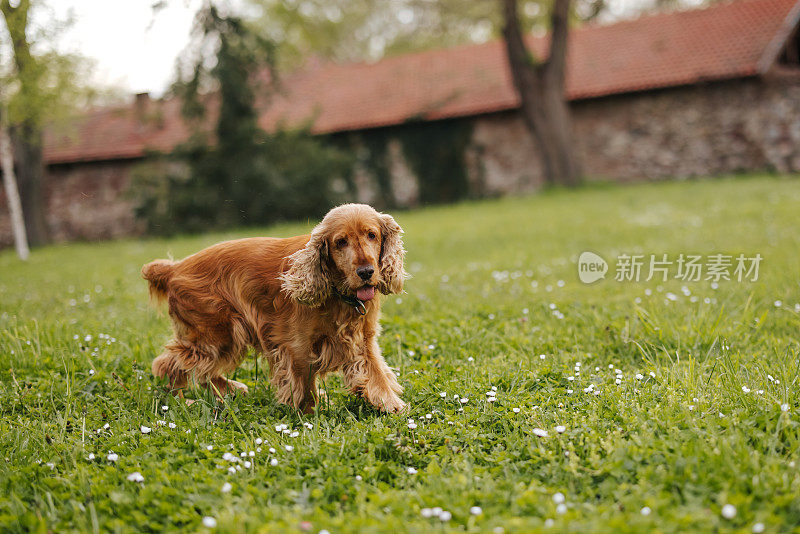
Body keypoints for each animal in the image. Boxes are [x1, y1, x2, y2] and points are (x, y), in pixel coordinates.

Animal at [139, 205, 406, 414]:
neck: (337, 294)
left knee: (201, 372)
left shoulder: (361, 339)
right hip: (218, 334)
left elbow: (375, 373)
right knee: (171, 364)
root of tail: (174, 269)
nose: (366, 272)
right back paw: (184, 402)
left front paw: (393, 406)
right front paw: (309, 415)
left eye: (372, 235)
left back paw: (230, 390)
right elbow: (305, 386)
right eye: (340, 242)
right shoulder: (296, 346)